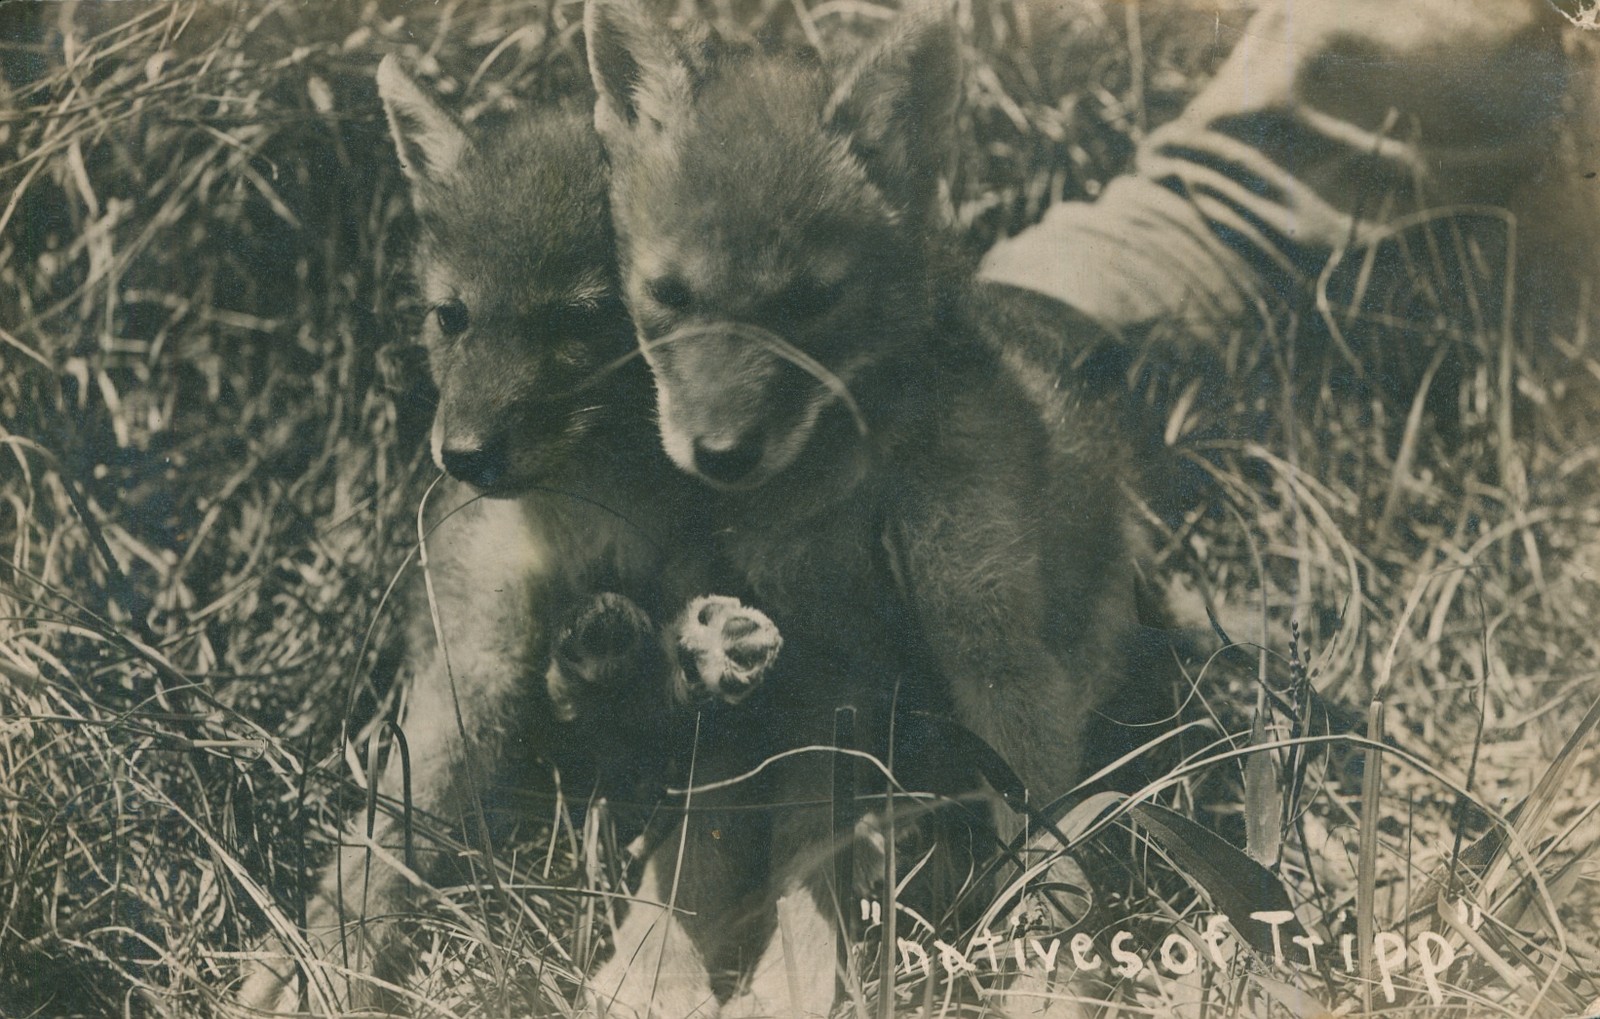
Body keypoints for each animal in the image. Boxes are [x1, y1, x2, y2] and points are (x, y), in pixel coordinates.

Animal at [236, 57, 787, 1016]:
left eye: (581, 318)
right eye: (451, 316)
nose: (462, 456)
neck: (585, 512)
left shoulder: (739, 735)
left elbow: (695, 863)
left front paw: (658, 974)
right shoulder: (472, 667)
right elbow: (384, 835)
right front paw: (322, 951)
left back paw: (689, 648)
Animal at [585, 0, 1168, 1011]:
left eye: (812, 301)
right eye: (669, 294)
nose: (722, 454)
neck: (829, 502)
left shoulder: (987, 644)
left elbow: (1047, 850)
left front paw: (1053, 972)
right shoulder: (807, 681)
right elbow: (722, 851)